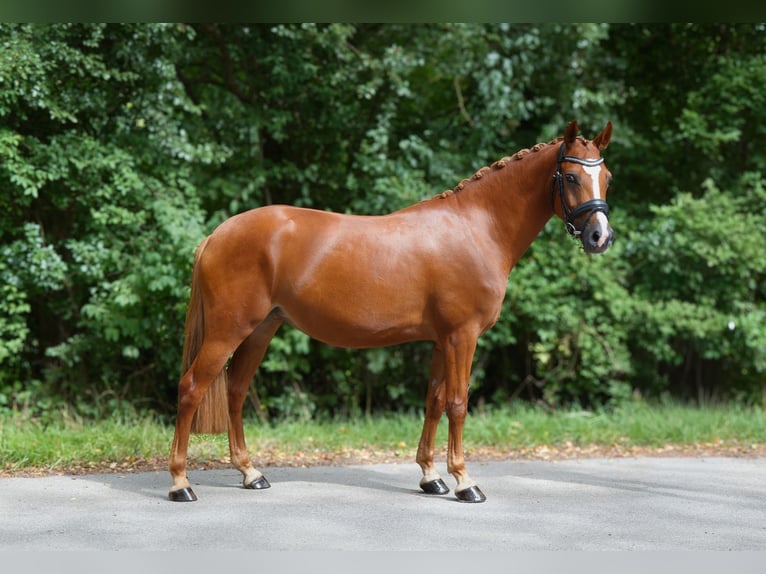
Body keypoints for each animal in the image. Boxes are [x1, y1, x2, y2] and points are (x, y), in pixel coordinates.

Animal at [168, 119, 614, 503]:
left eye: (606, 177)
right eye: (570, 177)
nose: (600, 237)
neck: (476, 228)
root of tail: (216, 235)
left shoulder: (442, 340)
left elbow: (434, 401)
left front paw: (431, 477)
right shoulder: (462, 336)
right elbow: (458, 403)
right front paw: (465, 481)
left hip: (261, 329)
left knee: (236, 392)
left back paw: (250, 473)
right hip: (228, 330)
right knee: (191, 388)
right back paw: (180, 483)